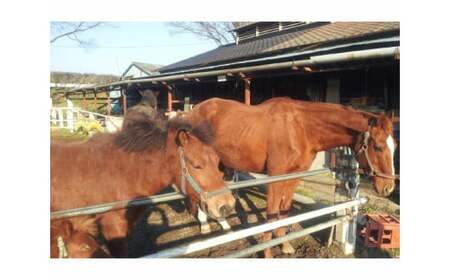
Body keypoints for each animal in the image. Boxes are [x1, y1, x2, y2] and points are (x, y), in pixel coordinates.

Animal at [186, 97, 398, 258]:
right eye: (378, 147)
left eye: (394, 145)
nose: (388, 187)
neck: (301, 128)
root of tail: (193, 111)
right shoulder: (274, 177)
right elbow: (272, 215)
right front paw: (267, 253)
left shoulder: (294, 176)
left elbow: (284, 210)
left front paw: (285, 245)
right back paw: (205, 225)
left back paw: (221, 224)